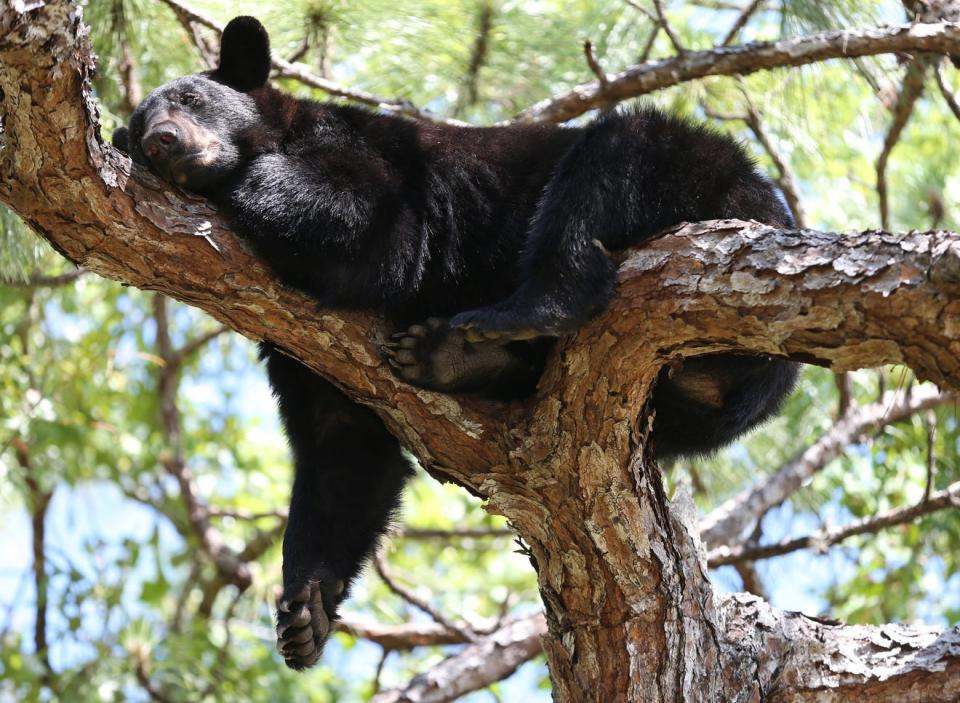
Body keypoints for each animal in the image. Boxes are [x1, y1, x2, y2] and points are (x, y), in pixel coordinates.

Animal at [112, 16, 800, 672]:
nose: (161, 141)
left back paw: (517, 314)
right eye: (141, 126)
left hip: (702, 179)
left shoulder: (365, 157)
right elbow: (342, 440)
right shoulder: (293, 339)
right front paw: (306, 609)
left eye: (192, 98)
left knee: (615, 156)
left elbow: (369, 222)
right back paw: (457, 358)